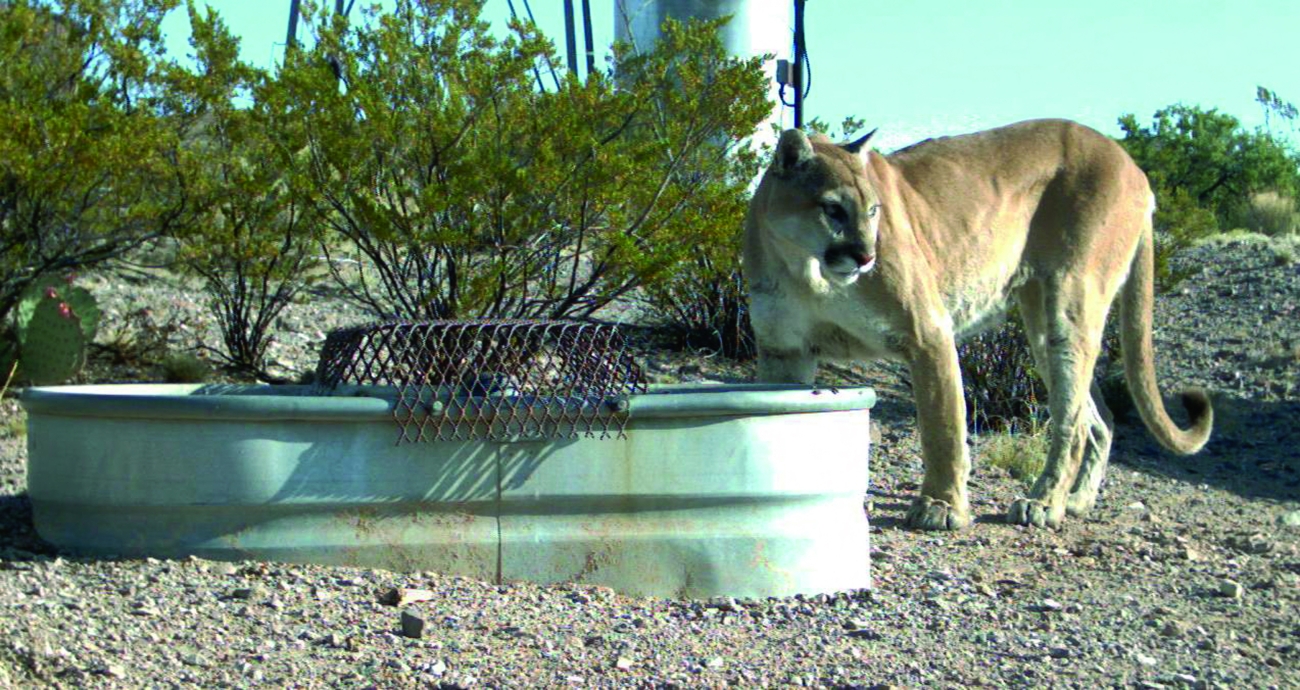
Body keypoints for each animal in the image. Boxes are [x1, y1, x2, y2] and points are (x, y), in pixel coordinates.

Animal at [743, 119, 1212, 530]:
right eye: (833, 209)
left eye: (873, 210)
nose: (865, 256)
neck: (806, 269)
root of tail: (1131, 164)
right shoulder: (784, 351)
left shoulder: (927, 332)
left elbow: (943, 425)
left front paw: (941, 507)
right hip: (1042, 324)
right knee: (1100, 415)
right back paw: (1077, 501)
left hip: (1071, 301)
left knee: (1073, 420)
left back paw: (1044, 504)